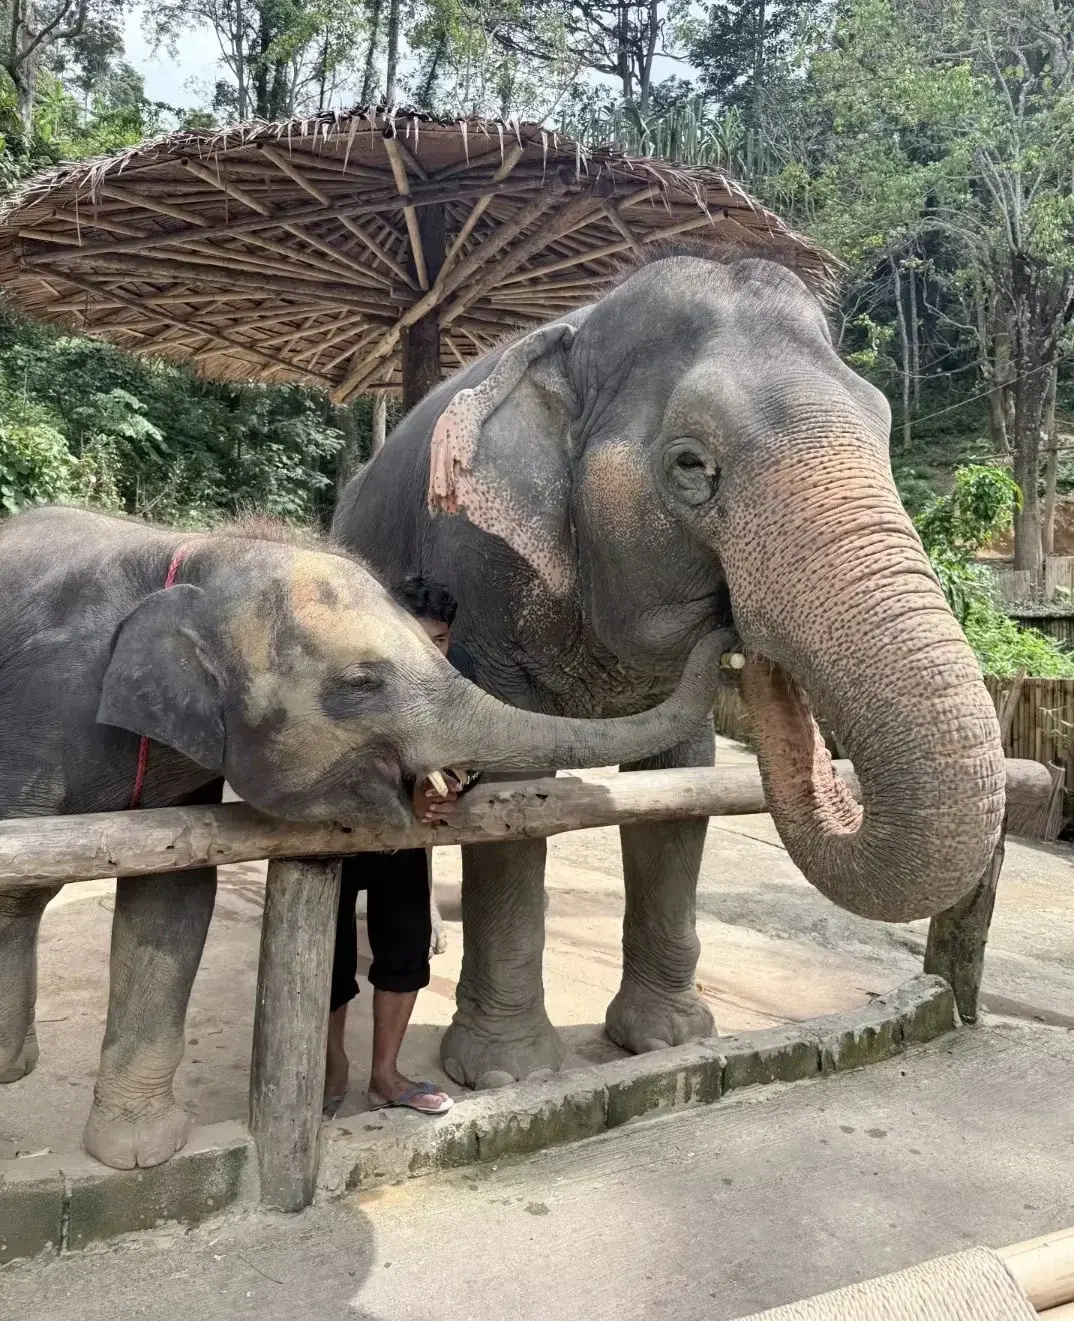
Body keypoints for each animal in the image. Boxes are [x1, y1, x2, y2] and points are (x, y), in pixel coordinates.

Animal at [0, 505, 730, 1169]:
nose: (725, 624)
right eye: (360, 682)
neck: (196, 552)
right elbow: (17, 893)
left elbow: (173, 893)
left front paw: (139, 1153)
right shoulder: (37, 713)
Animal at [333, 249, 1006, 1091]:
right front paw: (506, 1074)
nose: (736, 628)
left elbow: (682, 779)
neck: (579, 331)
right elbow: (514, 789)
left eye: (884, 433)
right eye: (692, 464)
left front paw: (666, 1040)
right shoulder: (479, 568)